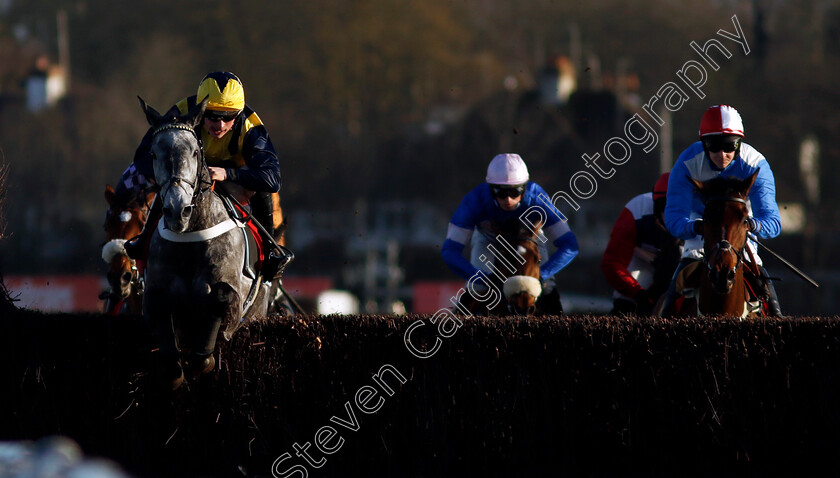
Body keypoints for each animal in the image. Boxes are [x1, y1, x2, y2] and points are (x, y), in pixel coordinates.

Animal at [139, 96, 268, 388]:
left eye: (195, 153)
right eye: (153, 154)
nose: (177, 210)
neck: (190, 237)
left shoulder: (234, 295)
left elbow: (220, 298)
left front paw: (203, 361)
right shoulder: (154, 290)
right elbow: (159, 307)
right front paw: (174, 371)